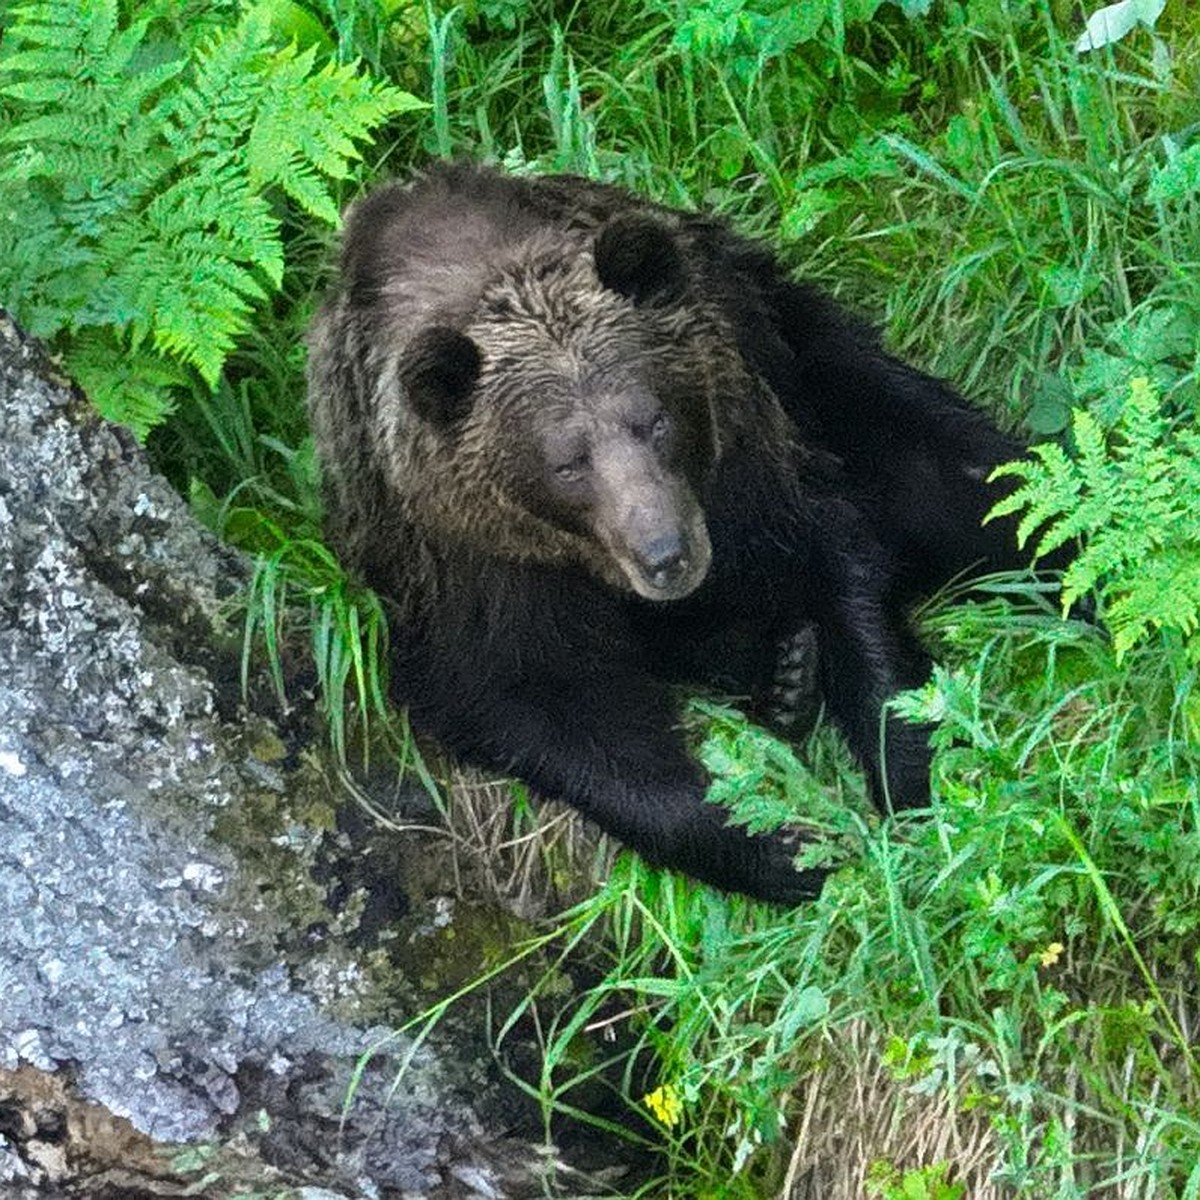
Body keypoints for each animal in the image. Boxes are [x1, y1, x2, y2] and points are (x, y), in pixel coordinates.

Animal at [309, 164, 1032, 902]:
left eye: (654, 419)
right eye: (567, 462)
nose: (667, 556)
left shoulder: (742, 454)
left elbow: (836, 561)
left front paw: (910, 767)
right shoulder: (478, 565)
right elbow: (542, 704)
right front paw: (782, 846)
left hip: (800, 347)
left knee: (955, 469)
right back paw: (781, 675)